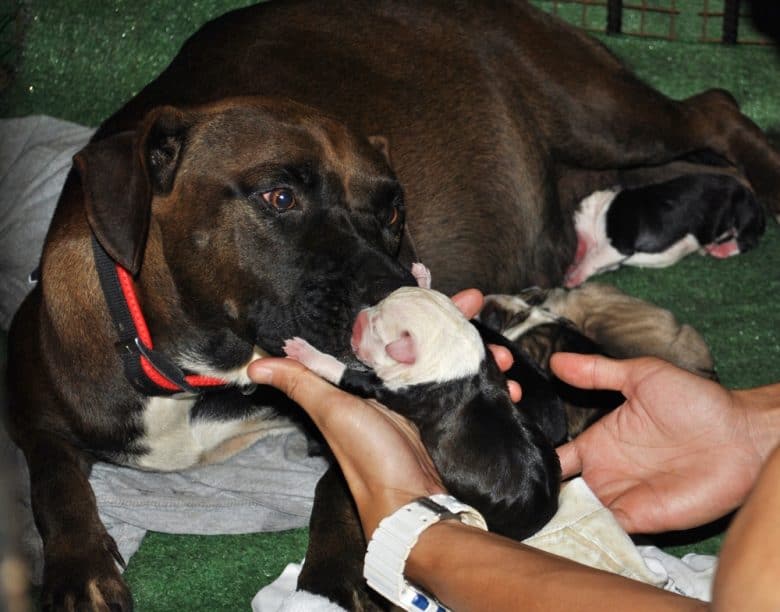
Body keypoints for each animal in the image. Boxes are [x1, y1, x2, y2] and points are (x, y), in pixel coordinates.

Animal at [286, 262, 560, 540]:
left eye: (375, 330)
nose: (357, 321)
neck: (448, 345)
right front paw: (422, 278)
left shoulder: (392, 389)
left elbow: (345, 373)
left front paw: (306, 352)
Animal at [564, 172, 764, 286]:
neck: (600, 208)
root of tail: (751, 195)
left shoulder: (619, 244)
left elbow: (593, 257)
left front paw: (572, 277)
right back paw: (709, 246)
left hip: (742, 208)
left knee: (748, 239)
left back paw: (722, 249)